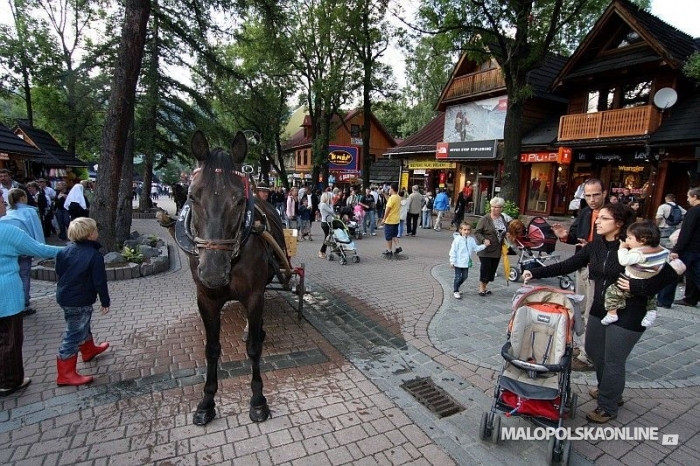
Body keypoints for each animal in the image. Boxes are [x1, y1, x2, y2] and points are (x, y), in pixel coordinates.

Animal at [172, 131, 284, 426]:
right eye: (192, 196)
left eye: (239, 200)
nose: (212, 272)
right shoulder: (206, 300)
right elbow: (211, 349)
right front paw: (206, 402)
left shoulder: (254, 296)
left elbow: (254, 348)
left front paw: (258, 400)